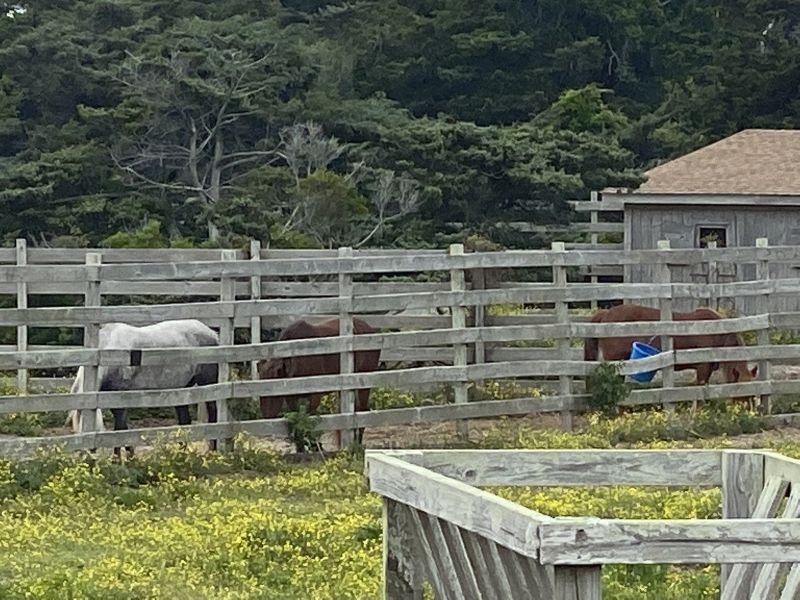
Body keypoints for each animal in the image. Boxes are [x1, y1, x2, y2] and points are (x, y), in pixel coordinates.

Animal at [65, 322, 219, 452]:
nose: (89, 455)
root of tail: (211, 332)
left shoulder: (120, 399)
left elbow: (119, 431)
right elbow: (123, 429)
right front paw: (130, 455)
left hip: (208, 383)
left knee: (213, 414)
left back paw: (213, 449)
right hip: (182, 390)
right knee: (185, 421)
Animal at [256, 318, 382, 450]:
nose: (267, 416)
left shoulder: (315, 396)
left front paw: (315, 446)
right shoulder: (292, 399)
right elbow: (298, 425)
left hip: (364, 382)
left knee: (362, 410)